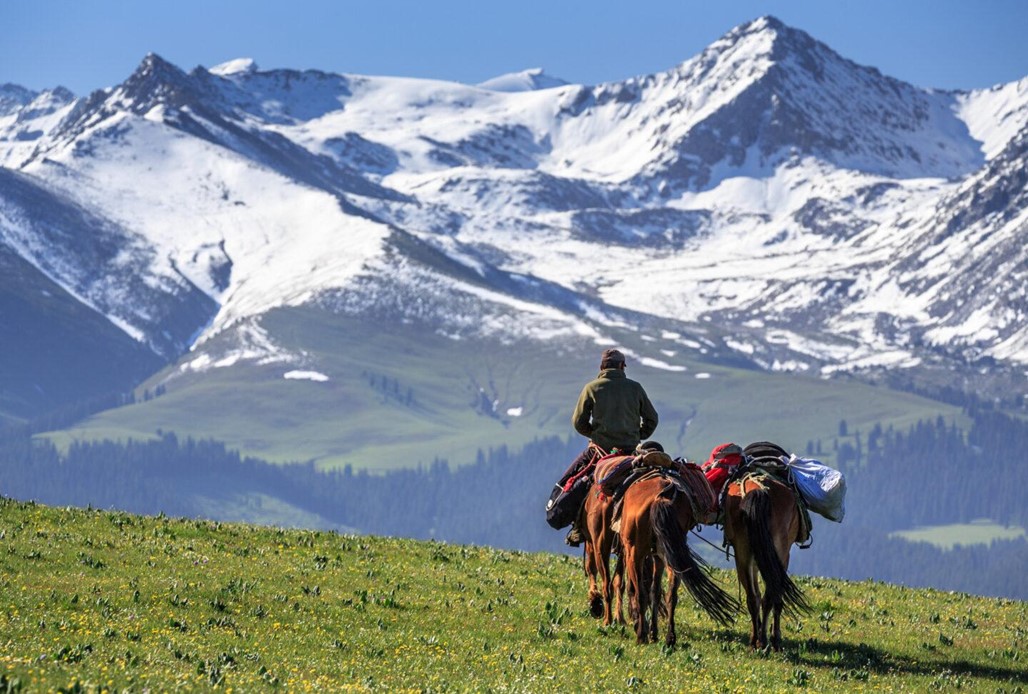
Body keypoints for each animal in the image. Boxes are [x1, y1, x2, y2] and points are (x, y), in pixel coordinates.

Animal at [616, 472, 740, 645]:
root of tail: (662, 496)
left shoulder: (633, 554)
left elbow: (637, 590)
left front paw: (643, 628)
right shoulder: (658, 557)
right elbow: (656, 592)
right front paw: (654, 633)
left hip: (636, 553)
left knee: (641, 593)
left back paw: (642, 635)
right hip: (671, 555)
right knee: (671, 594)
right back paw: (670, 637)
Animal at [723, 446, 810, 649]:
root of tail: (758, 490)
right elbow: (775, 596)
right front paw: (775, 637)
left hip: (743, 552)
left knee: (753, 598)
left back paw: (755, 640)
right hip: (778, 551)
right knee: (770, 596)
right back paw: (767, 641)